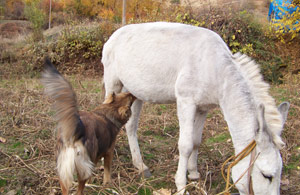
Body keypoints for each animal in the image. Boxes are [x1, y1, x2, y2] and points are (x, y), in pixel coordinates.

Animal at [102, 22, 290, 194]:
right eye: (267, 175)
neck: (215, 68)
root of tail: (113, 36)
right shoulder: (186, 102)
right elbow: (185, 145)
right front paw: (181, 185)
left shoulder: (202, 108)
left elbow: (196, 141)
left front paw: (193, 173)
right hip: (113, 85)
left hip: (135, 93)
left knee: (131, 127)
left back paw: (140, 165)